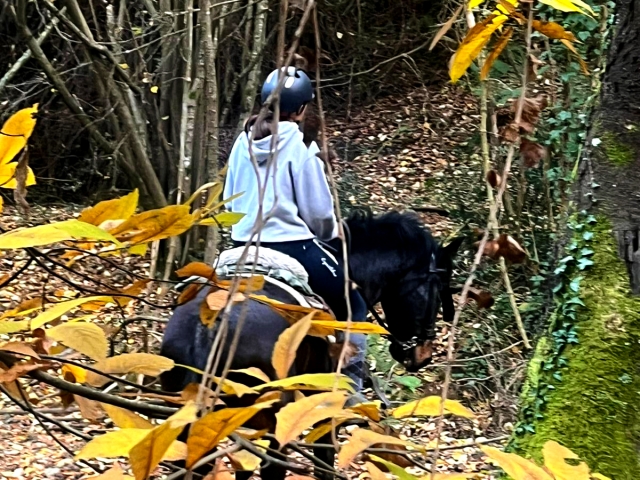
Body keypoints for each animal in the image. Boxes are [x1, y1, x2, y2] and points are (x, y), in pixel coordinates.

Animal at [159, 210, 463, 479]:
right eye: (439, 289)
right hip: (270, 423)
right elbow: (324, 464)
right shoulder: (323, 414)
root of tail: (208, 324)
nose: (423, 355)